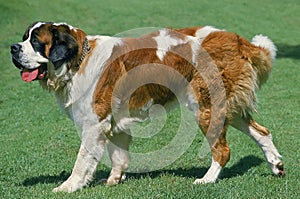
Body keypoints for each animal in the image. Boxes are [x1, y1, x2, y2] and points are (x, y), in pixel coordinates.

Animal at [9, 21, 286, 192]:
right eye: (24, 38)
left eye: (36, 41)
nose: (12, 47)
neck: (79, 59)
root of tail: (236, 39)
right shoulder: (115, 121)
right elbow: (119, 155)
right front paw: (114, 180)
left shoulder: (93, 124)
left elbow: (82, 160)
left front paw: (68, 186)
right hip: (227, 107)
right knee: (262, 132)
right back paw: (276, 165)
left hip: (206, 106)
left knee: (222, 150)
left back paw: (206, 180)